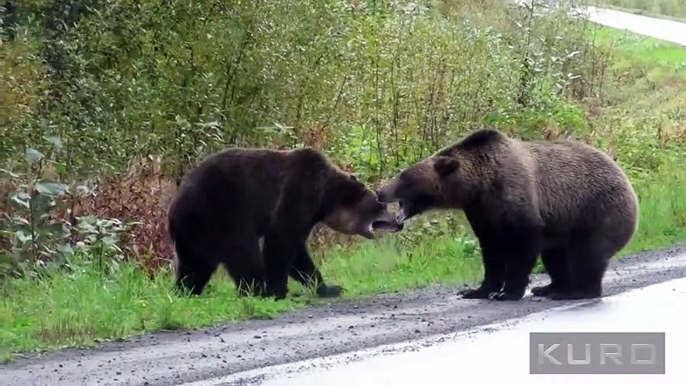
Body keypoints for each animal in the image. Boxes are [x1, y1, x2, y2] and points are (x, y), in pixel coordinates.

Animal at [168, 146, 404, 300]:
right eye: (381, 204)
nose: (398, 221)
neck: (325, 199)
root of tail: (174, 206)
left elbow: (298, 252)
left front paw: (328, 287)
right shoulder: (300, 189)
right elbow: (281, 238)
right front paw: (278, 289)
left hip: (196, 230)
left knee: (196, 263)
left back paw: (185, 290)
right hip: (221, 210)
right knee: (243, 251)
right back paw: (257, 289)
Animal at [376, 129, 640, 302]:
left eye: (404, 177)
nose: (380, 191)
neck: (479, 184)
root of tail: (627, 180)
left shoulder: (515, 197)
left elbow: (521, 244)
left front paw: (507, 292)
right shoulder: (481, 211)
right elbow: (491, 251)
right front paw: (477, 290)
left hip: (597, 212)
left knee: (587, 255)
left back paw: (577, 291)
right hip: (564, 227)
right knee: (556, 256)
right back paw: (551, 288)